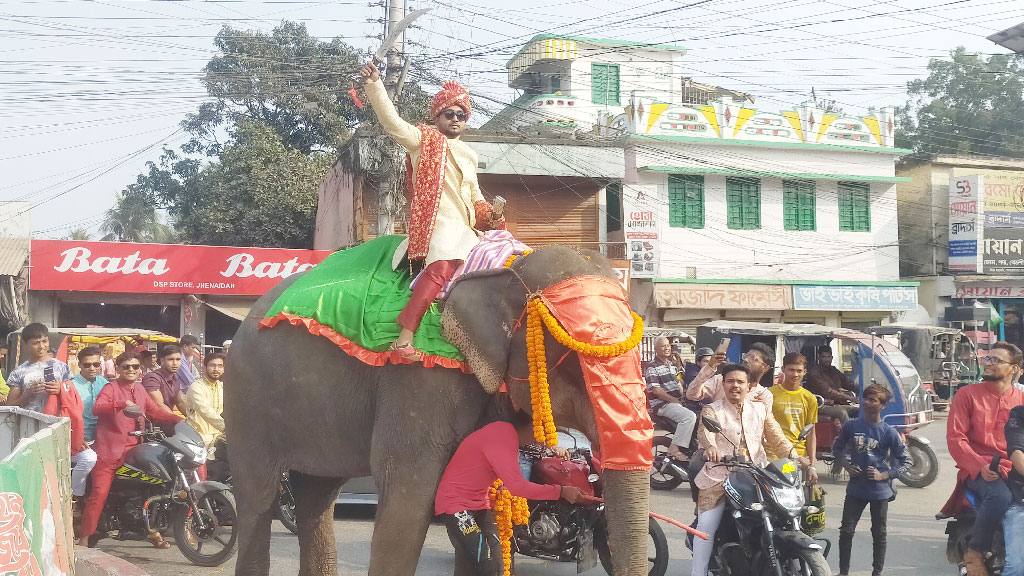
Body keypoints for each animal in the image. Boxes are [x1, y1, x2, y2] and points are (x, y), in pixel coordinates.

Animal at [228, 243, 651, 573]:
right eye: (571, 354)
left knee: (316, 499)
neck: (504, 268)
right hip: (248, 401)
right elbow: (407, 498)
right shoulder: (419, 380)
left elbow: (481, 502)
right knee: (257, 500)